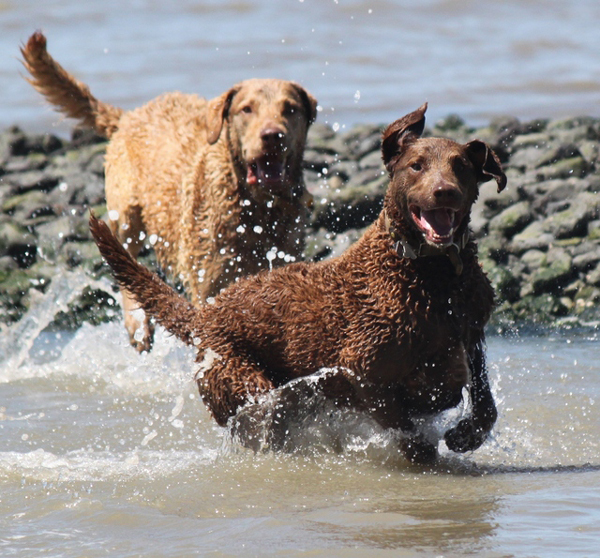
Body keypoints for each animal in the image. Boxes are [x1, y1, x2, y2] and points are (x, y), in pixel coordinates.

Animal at [22, 30, 318, 352]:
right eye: (247, 109)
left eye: (290, 109)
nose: (273, 136)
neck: (258, 209)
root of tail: (130, 115)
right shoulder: (210, 284)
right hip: (125, 213)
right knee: (123, 257)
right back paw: (138, 323)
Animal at [89, 105, 506, 464]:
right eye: (417, 166)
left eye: (461, 166)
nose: (444, 191)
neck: (432, 274)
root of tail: (204, 316)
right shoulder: (363, 369)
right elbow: (408, 430)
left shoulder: (472, 333)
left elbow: (483, 400)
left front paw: (466, 434)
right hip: (245, 385)